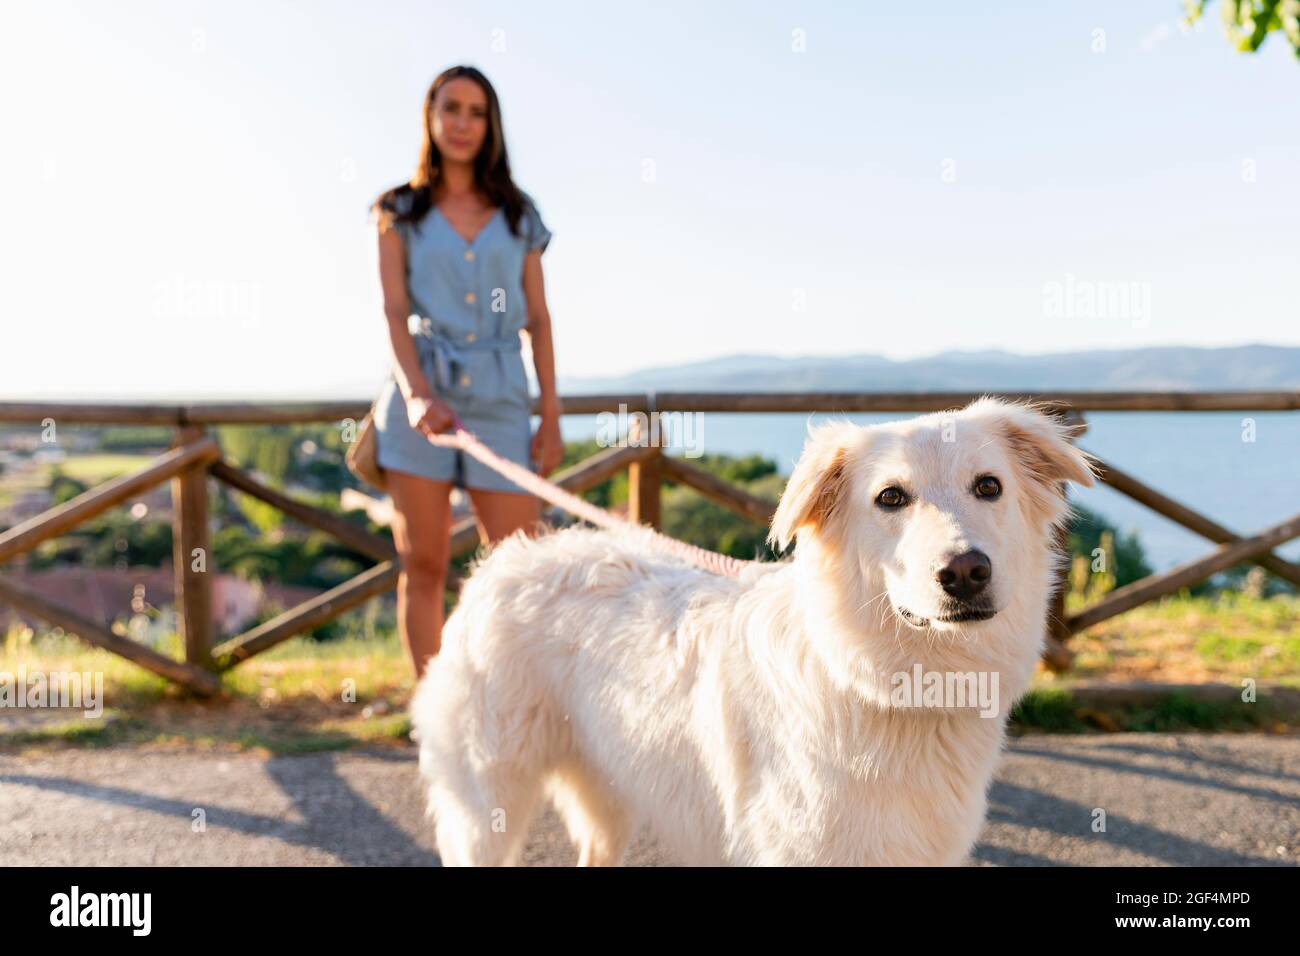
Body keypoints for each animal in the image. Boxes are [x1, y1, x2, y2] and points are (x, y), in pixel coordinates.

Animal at [410, 398, 1092, 868]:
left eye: (989, 486)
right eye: (891, 498)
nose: (966, 572)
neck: (880, 683)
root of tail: (503, 563)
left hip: (608, 794)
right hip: (486, 810)